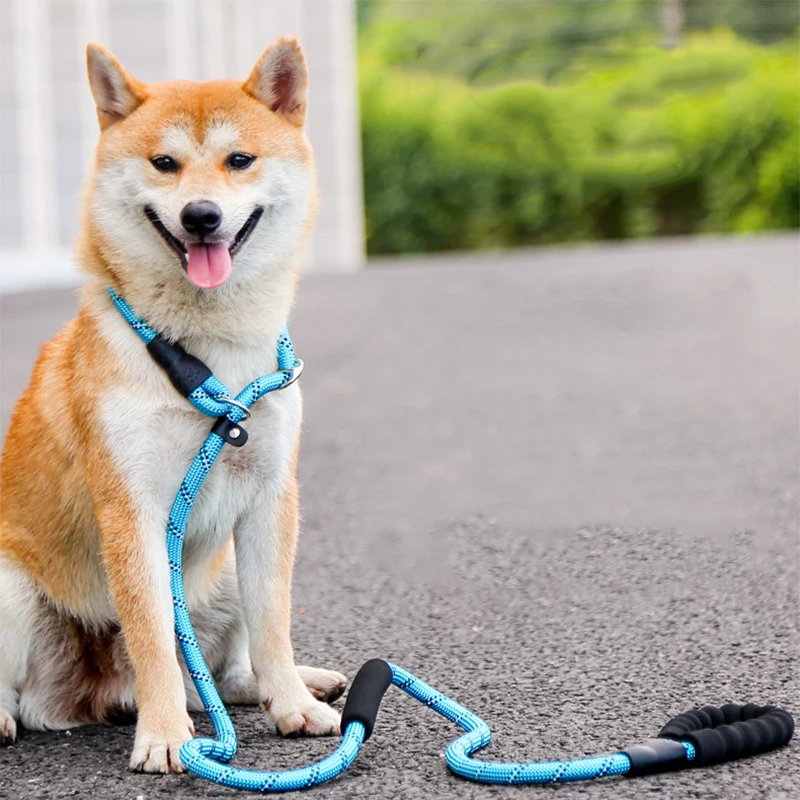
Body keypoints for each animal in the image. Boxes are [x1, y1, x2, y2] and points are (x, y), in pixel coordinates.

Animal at [0, 37, 346, 776]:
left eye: (239, 160)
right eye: (164, 164)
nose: (201, 216)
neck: (205, 354)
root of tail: (96, 691)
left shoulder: (270, 498)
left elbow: (273, 624)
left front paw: (293, 704)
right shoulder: (134, 511)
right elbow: (156, 639)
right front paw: (162, 736)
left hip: (221, 577)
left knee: (224, 674)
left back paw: (302, 684)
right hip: (10, 589)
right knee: (29, 694)